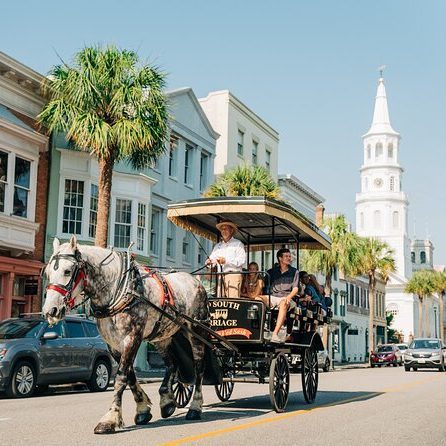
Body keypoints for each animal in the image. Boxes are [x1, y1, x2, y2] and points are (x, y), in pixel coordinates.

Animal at [42, 235, 209, 434]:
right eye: (47, 273)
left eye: (67, 271)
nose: (50, 311)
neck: (118, 289)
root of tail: (194, 280)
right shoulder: (113, 344)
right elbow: (129, 375)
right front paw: (143, 409)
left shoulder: (132, 337)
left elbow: (121, 376)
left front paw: (110, 419)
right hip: (162, 335)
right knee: (172, 364)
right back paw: (167, 401)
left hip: (196, 331)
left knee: (199, 368)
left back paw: (195, 407)